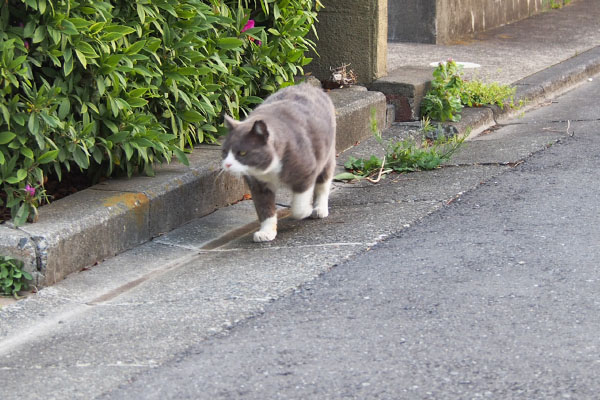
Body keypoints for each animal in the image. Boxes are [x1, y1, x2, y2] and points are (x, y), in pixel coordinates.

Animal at [223, 83, 338, 242]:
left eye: (242, 153)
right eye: (224, 151)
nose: (227, 164)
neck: (268, 171)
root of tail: (308, 85)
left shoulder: (306, 170)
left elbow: (299, 206)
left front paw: (305, 210)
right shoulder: (258, 185)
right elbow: (264, 208)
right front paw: (266, 232)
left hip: (327, 154)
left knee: (323, 182)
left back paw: (319, 209)